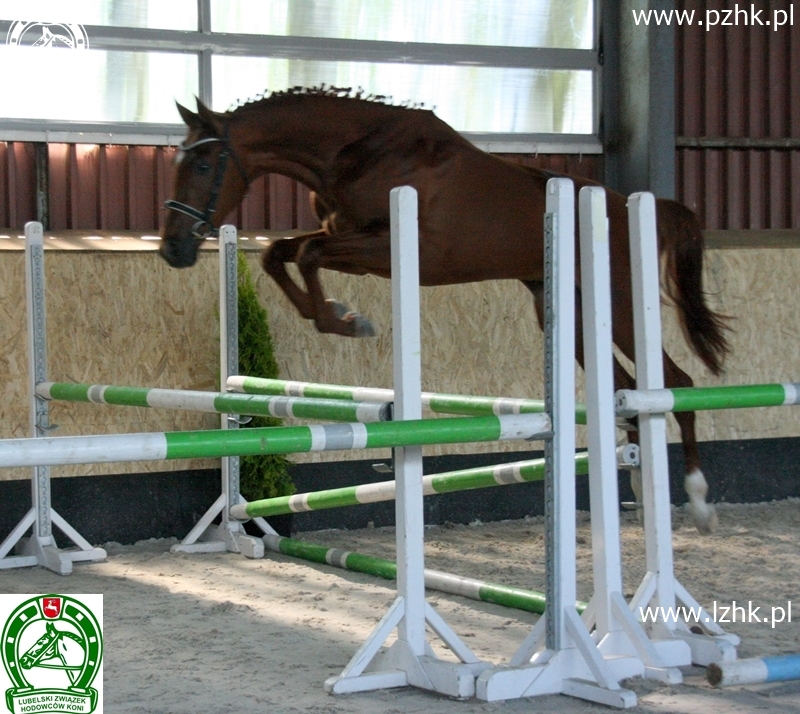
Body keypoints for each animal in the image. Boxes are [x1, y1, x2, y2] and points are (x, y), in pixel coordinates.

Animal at [159, 86, 728, 532]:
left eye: (204, 164)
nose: (172, 251)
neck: (355, 153)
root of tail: (634, 206)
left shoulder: (384, 248)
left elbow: (307, 254)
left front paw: (346, 320)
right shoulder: (346, 238)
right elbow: (281, 253)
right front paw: (340, 314)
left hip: (622, 305)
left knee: (677, 383)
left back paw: (700, 502)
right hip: (572, 315)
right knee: (623, 392)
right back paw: (637, 484)